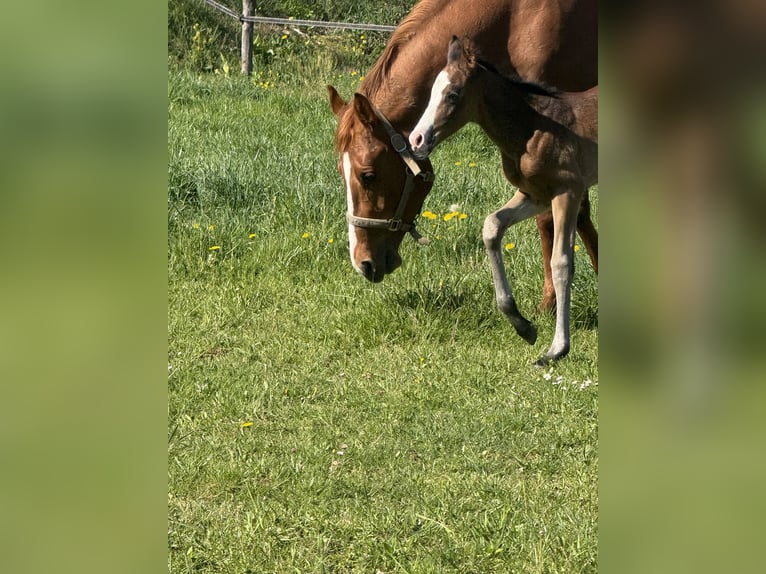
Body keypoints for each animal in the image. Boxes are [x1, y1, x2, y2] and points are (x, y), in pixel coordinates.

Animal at [328, 0, 598, 310]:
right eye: (341, 173)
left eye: (368, 175)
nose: (363, 262)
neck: (519, 18)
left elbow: (554, 219)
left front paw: (551, 302)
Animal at [409, 36, 597, 364]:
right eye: (431, 91)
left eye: (453, 94)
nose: (416, 139)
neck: (531, 128)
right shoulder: (535, 194)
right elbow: (491, 226)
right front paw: (523, 325)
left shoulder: (568, 191)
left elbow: (561, 262)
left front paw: (557, 348)